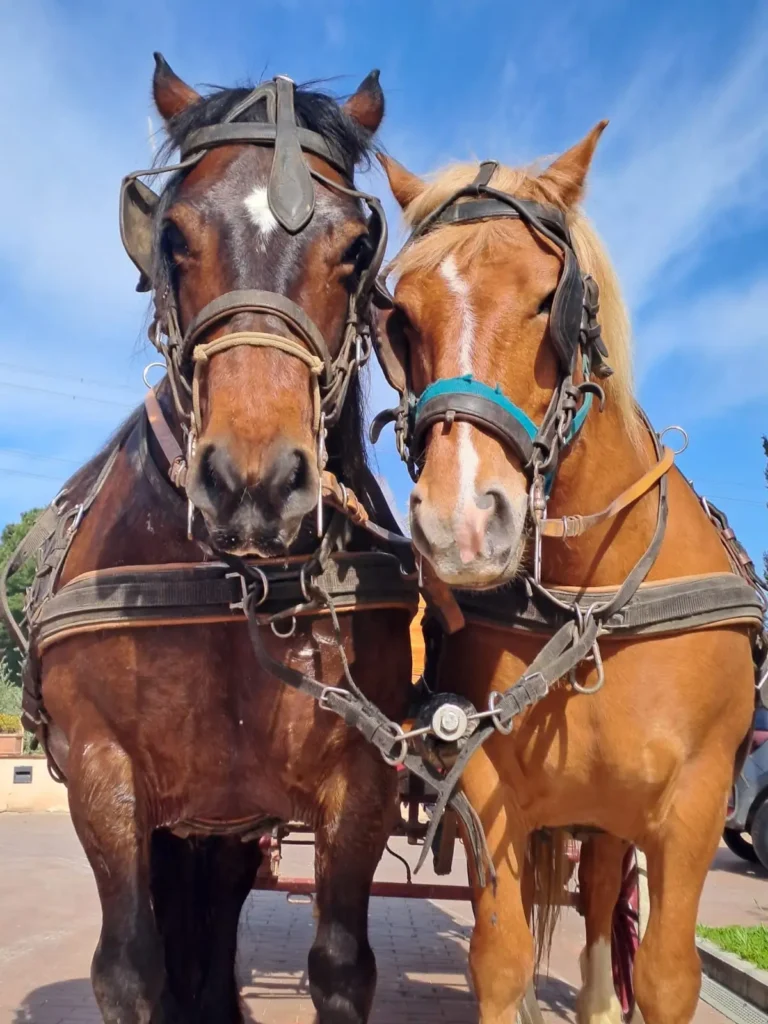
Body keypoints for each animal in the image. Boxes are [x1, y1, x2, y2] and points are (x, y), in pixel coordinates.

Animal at [9, 58, 417, 1024]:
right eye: (175, 235)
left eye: (357, 247)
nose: (253, 484)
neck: (238, 584)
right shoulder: (103, 776)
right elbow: (130, 968)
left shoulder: (361, 781)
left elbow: (341, 965)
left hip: (229, 819)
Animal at [374, 126, 762, 1023]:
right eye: (399, 317)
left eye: (551, 298)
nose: (460, 522)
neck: (587, 604)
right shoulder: (485, 789)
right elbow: (501, 958)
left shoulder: (692, 809)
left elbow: (664, 978)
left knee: (603, 902)